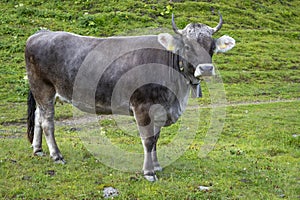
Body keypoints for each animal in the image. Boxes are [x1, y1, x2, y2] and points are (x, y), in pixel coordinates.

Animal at [25, 12, 236, 181]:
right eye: (187, 46)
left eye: (211, 46)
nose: (206, 69)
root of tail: (42, 33)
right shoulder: (143, 106)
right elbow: (148, 140)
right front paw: (149, 172)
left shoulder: (160, 109)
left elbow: (156, 138)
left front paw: (157, 165)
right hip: (43, 88)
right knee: (47, 122)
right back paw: (57, 156)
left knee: (38, 116)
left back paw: (38, 149)